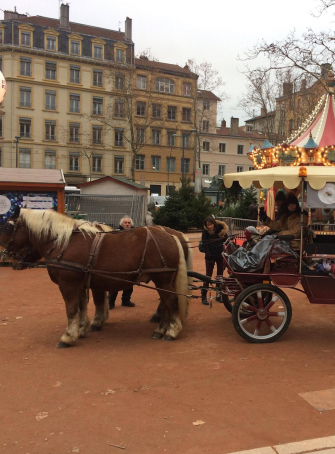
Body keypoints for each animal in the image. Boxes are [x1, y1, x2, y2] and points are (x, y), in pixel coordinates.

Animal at [0, 208, 189, 348]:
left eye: (7, 228)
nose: (7, 256)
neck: (64, 243)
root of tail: (171, 236)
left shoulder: (67, 284)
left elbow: (71, 310)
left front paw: (68, 336)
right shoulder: (80, 284)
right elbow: (82, 306)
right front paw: (82, 329)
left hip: (162, 279)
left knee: (170, 302)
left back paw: (171, 331)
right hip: (164, 281)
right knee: (165, 304)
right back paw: (161, 329)